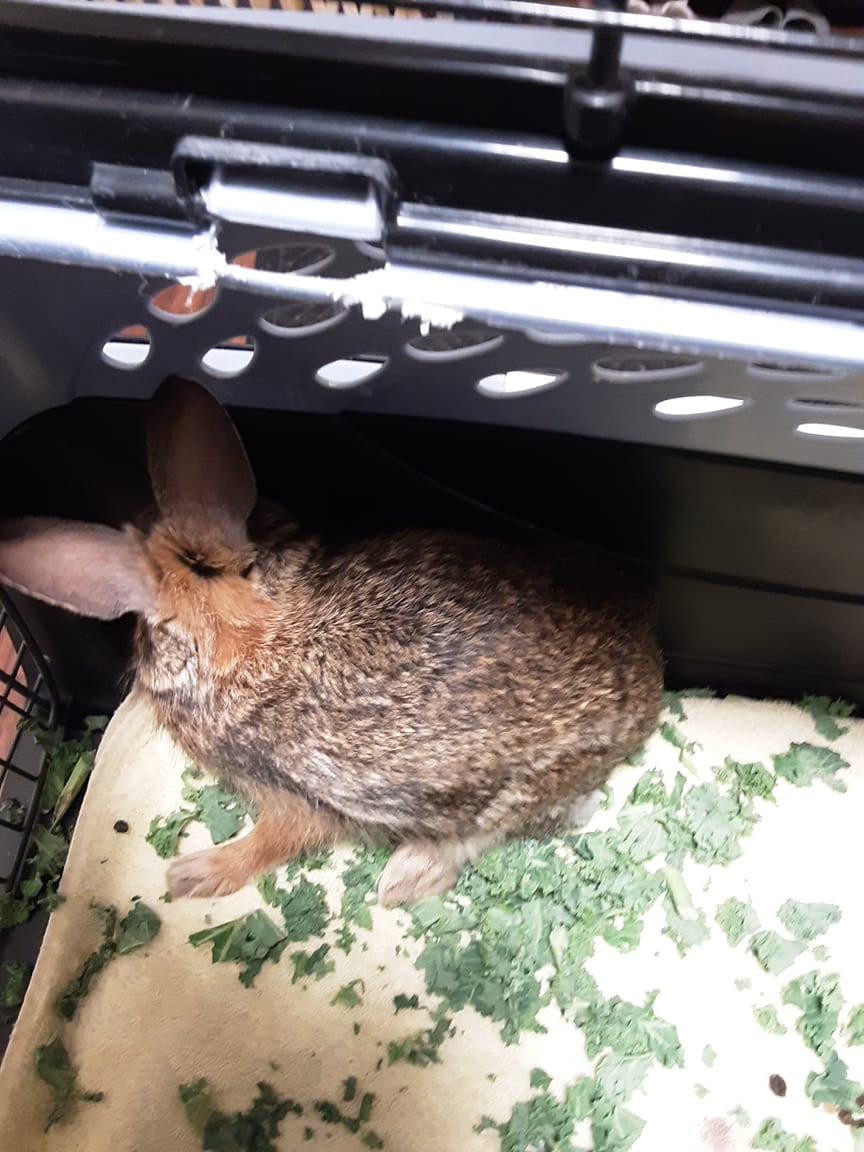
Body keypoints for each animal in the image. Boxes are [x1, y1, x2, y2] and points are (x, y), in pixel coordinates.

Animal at [0, 373, 668, 903]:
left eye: (141, 636)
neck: (245, 632)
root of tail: (653, 680)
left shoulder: (291, 796)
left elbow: (279, 839)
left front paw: (191, 877)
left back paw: (404, 879)